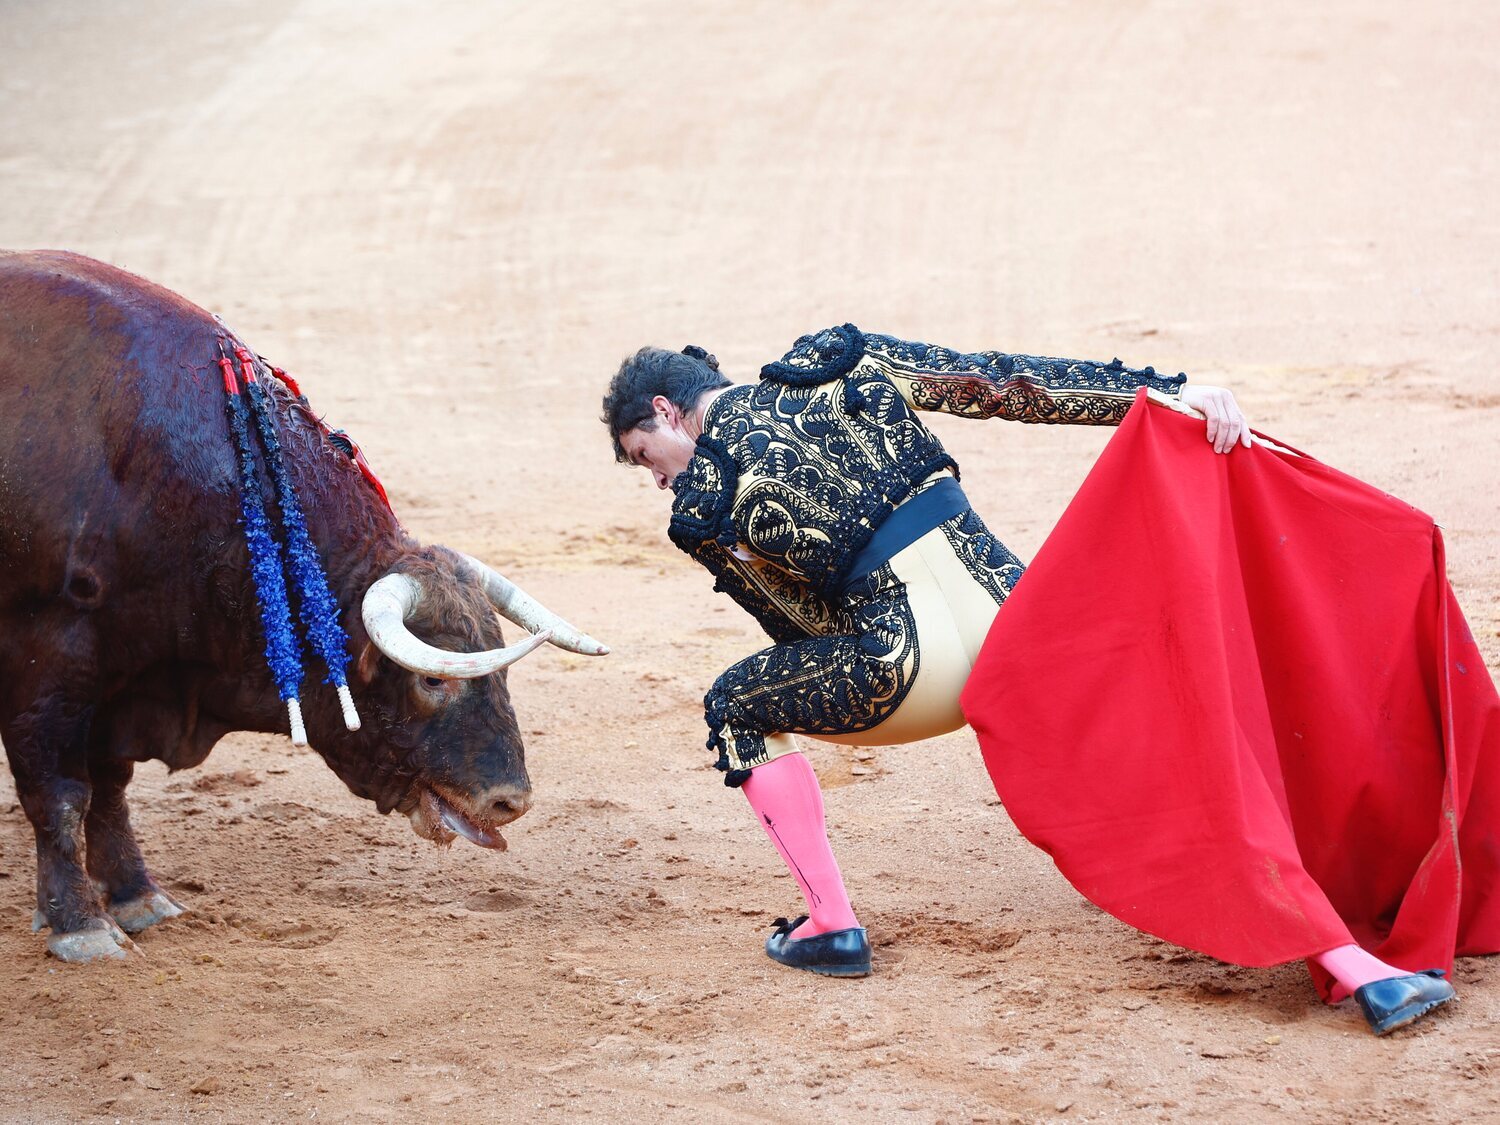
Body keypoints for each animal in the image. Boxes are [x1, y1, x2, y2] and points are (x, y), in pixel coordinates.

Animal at [2, 250, 609, 966]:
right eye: (433, 680)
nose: (511, 801)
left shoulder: (123, 679)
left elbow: (110, 787)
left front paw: (136, 897)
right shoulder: (50, 662)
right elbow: (62, 794)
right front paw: (81, 925)